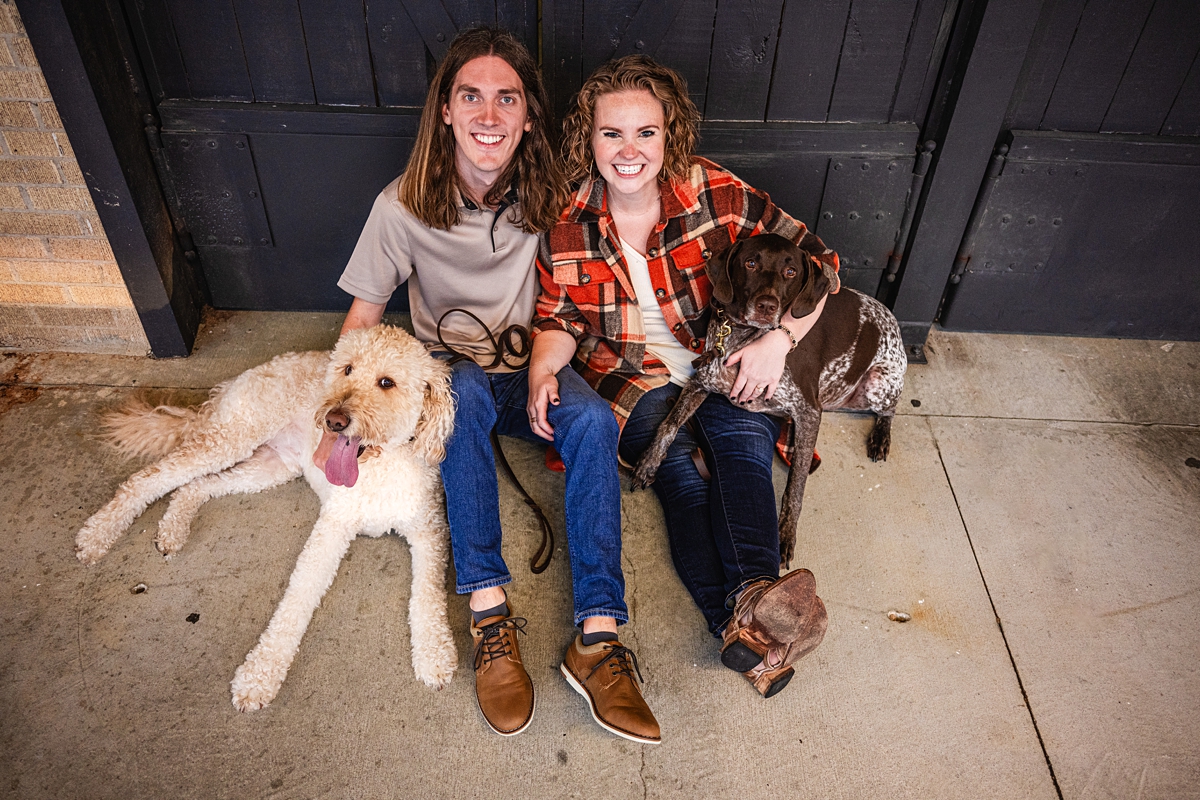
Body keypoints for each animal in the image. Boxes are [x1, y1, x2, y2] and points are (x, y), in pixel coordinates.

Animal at [76, 326, 458, 714]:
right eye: (347, 369)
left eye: (386, 382)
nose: (334, 420)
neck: (380, 462)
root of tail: (249, 373)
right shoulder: (331, 529)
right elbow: (296, 600)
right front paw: (259, 673)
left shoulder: (429, 531)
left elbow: (427, 595)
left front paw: (434, 655)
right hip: (231, 439)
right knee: (151, 477)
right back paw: (96, 535)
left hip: (270, 467)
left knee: (196, 486)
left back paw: (173, 528)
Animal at [633, 232, 902, 568]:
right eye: (750, 263)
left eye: (791, 272)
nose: (766, 305)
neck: (743, 335)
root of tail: (889, 314)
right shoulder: (699, 383)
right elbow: (668, 426)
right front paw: (648, 462)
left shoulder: (808, 412)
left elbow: (795, 486)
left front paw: (785, 534)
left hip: (880, 384)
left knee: (889, 410)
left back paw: (881, 437)